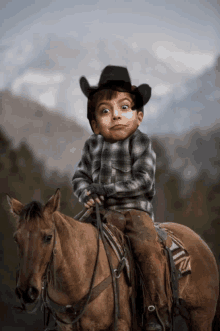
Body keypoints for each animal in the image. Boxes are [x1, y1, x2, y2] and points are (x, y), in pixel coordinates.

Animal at [8, 191, 218, 330]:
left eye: (48, 237)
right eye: (16, 238)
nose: (26, 291)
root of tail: (201, 243)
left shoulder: (120, 324)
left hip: (200, 315)